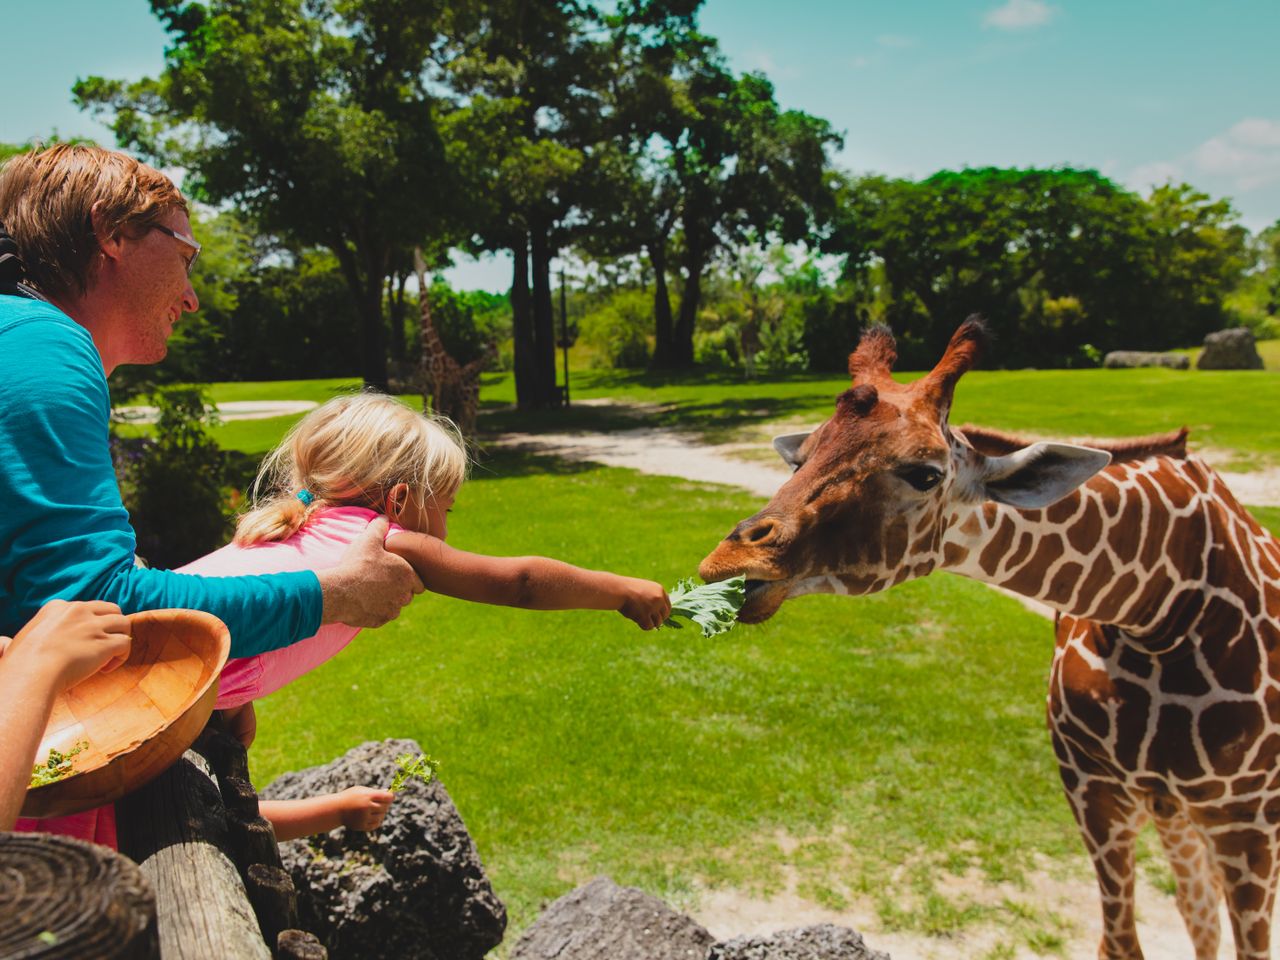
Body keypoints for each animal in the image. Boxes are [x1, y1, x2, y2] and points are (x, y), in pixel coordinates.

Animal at [412, 248, 491, 435]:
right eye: (416, 260)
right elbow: (426, 409)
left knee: (468, 422)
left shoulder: (438, 383)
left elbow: (434, 409)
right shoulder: (424, 385)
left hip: (462, 398)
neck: (428, 349)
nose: (416, 251)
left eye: (423, 262)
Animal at [701, 320, 1280, 957]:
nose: (729, 561)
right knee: (1196, 909)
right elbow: (1121, 941)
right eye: (799, 459)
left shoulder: (1248, 814)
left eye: (925, 473)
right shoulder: (1092, 787)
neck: (1158, 604)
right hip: (1174, 812)